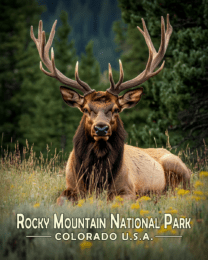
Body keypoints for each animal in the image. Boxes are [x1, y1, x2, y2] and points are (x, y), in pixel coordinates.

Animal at [30, 14, 191, 205]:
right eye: (85, 109)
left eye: (115, 109)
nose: (101, 128)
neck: (97, 179)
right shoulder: (70, 187)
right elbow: (60, 201)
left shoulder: (128, 190)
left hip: (178, 166)